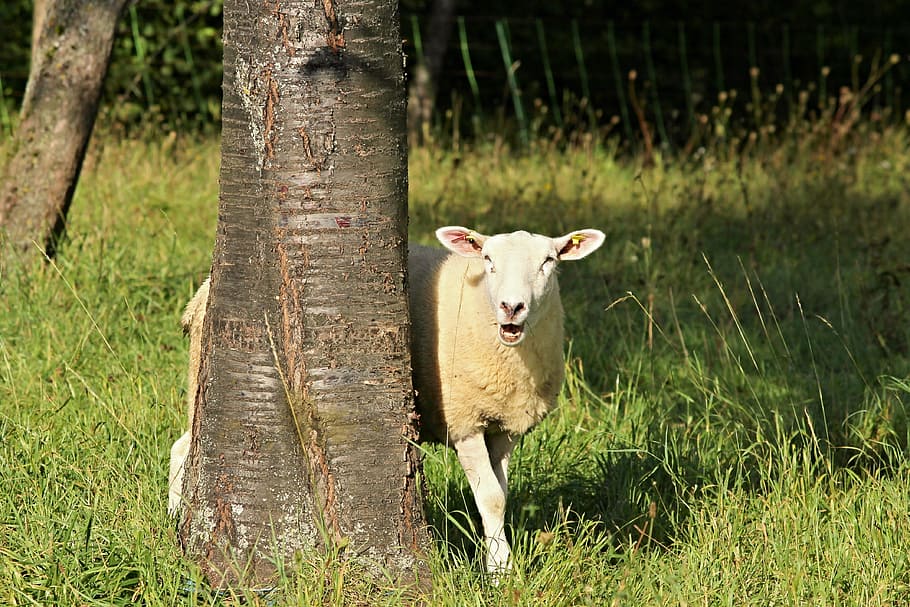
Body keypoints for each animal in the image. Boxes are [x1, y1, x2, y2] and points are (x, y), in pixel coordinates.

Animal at [168, 225, 605, 575]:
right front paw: (501, 572)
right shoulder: (463, 419)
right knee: (184, 447)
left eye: (549, 261)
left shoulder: (507, 426)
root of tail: (204, 288)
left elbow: (500, 495)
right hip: (201, 365)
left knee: (182, 445)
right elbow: (492, 499)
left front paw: (499, 561)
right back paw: (174, 523)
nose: (511, 307)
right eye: (487, 259)